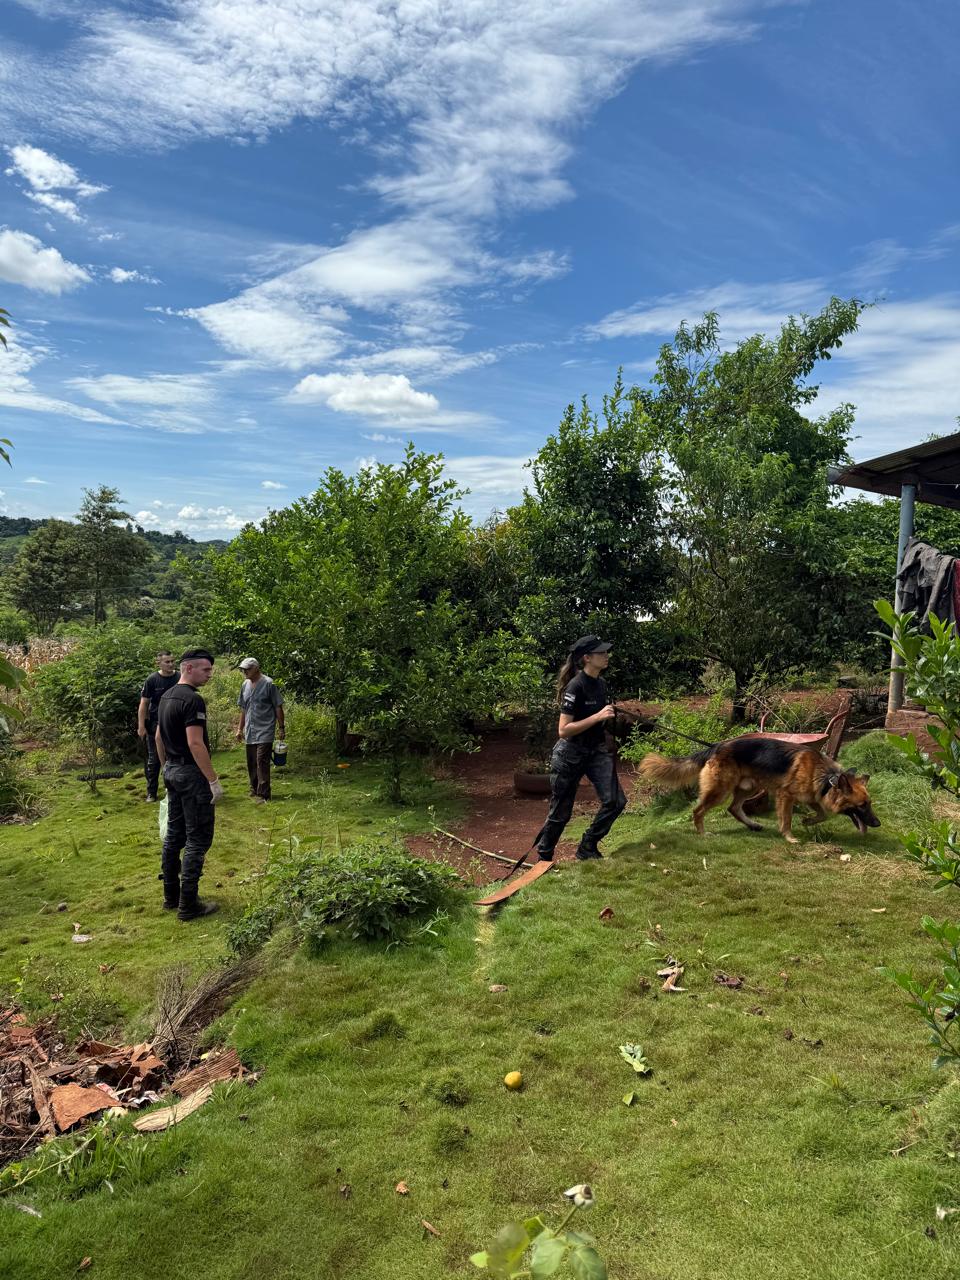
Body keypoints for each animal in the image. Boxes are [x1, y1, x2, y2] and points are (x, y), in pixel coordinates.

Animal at [642, 737, 885, 844]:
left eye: (869, 804)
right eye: (862, 806)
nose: (878, 824)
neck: (826, 777)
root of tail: (717, 746)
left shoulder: (813, 796)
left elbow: (822, 814)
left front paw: (807, 821)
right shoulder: (785, 796)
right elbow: (786, 819)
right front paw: (789, 837)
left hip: (750, 787)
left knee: (734, 808)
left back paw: (753, 825)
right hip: (720, 791)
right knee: (698, 811)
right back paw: (702, 833)